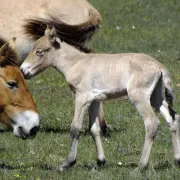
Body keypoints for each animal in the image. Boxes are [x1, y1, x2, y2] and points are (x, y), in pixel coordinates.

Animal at [21, 27, 180, 170]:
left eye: (39, 51)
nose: (23, 70)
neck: (76, 63)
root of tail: (159, 66)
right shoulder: (94, 100)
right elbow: (94, 129)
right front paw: (100, 161)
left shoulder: (82, 97)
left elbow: (75, 128)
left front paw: (68, 163)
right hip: (155, 97)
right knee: (172, 118)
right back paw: (176, 160)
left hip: (138, 96)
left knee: (152, 123)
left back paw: (141, 166)